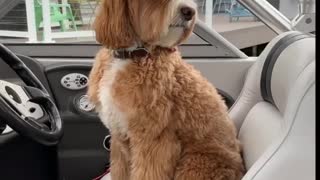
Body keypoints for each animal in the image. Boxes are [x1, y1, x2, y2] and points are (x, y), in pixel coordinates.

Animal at [87, 0, 245, 179]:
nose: (189, 11)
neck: (134, 55)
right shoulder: (119, 138)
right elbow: (120, 170)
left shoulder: (154, 140)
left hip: (193, 164)